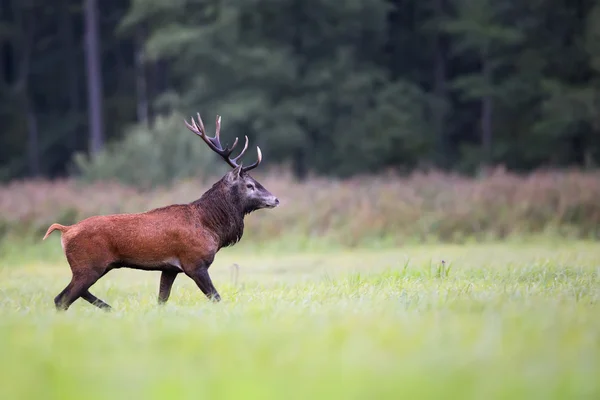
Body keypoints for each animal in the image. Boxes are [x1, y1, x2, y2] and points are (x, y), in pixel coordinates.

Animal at [43, 113, 280, 312]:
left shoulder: (170, 268)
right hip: (88, 265)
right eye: (250, 185)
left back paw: (109, 308)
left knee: (72, 295)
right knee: (62, 298)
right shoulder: (194, 262)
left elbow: (162, 300)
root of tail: (66, 230)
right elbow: (216, 297)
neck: (211, 228)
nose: (276, 199)